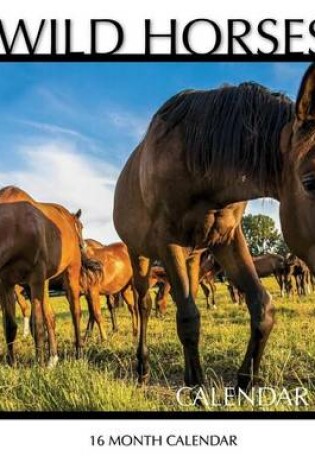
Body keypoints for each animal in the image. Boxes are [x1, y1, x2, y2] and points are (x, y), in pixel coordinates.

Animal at [0, 186, 100, 364]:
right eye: (81, 226)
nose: (83, 246)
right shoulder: (6, 283)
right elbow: (10, 325)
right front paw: (12, 363)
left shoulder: (35, 279)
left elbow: (38, 324)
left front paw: (38, 364)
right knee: (51, 316)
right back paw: (53, 358)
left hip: (71, 273)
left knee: (75, 312)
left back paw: (78, 353)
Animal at [115, 63, 315, 390]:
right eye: (309, 182)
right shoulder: (167, 242)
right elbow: (187, 320)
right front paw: (197, 388)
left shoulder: (227, 238)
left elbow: (262, 307)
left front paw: (244, 382)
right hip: (139, 254)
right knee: (143, 303)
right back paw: (142, 368)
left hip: (193, 256)